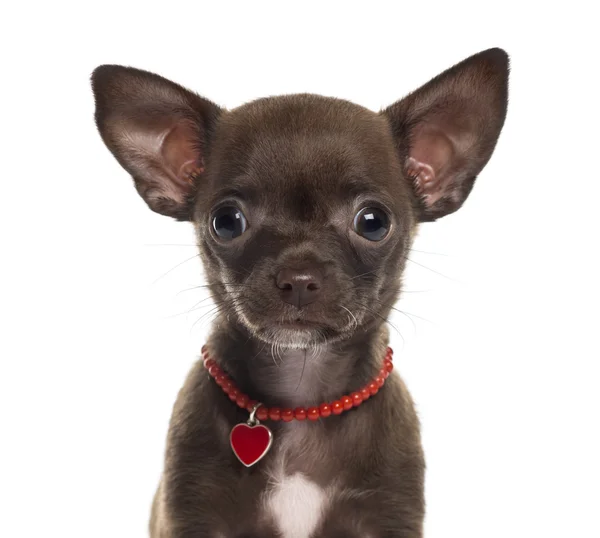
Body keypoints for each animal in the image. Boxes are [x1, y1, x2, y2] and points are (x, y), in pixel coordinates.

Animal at [91, 48, 508, 532]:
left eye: (373, 222)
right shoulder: (191, 512)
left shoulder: (389, 514)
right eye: (226, 221)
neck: (300, 394)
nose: (299, 278)